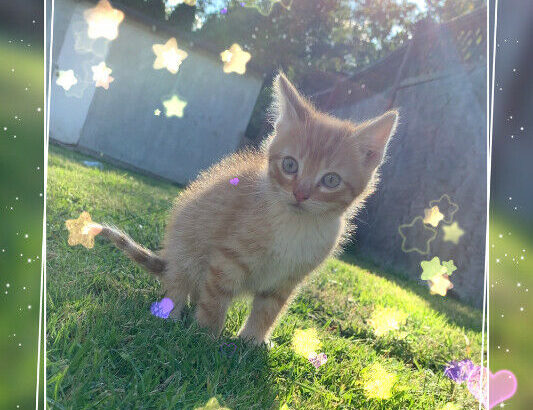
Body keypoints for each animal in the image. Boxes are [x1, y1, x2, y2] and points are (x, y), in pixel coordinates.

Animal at [97, 72, 396, 344]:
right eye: (290, 165)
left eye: (331, 180)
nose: (300, 194)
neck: (295, 225)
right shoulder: (226, 258)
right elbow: (215, 299)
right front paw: (205, 337)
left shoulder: (288, 279)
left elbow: (269, 310)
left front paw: (252, 342)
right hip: (186, 248)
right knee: (179, 283)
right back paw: (170, 314)